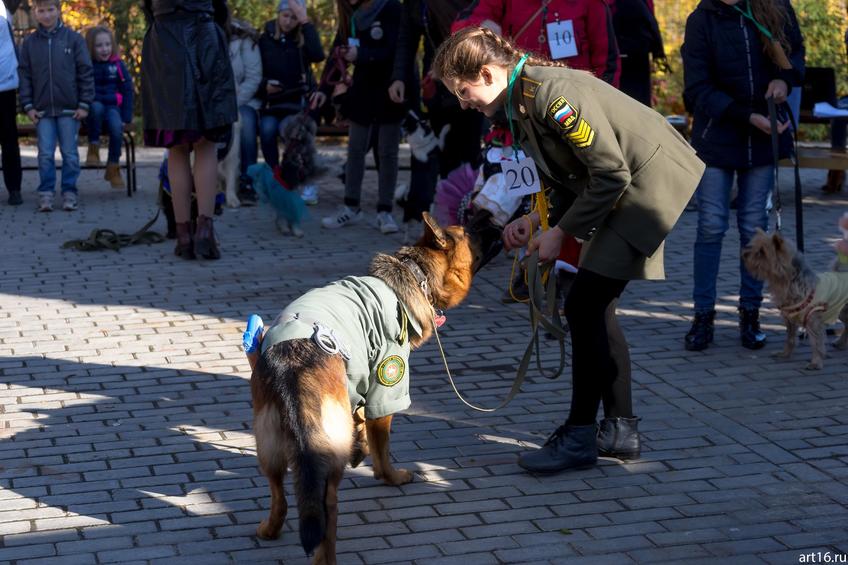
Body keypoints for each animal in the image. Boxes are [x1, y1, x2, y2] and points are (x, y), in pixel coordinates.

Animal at [248, 213, 494, 564]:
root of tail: (290, 366)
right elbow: (382, 445)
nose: (494, 221)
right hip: (323, 463)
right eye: (470, 232)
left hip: (268, 445)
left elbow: (361, 420)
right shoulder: (386, 384)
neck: (414, 272)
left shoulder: (356, 385)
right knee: (326, 511)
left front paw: (360, 446)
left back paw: (269, 530)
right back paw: (326, 557)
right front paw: (389, 475)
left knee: (279, 494)